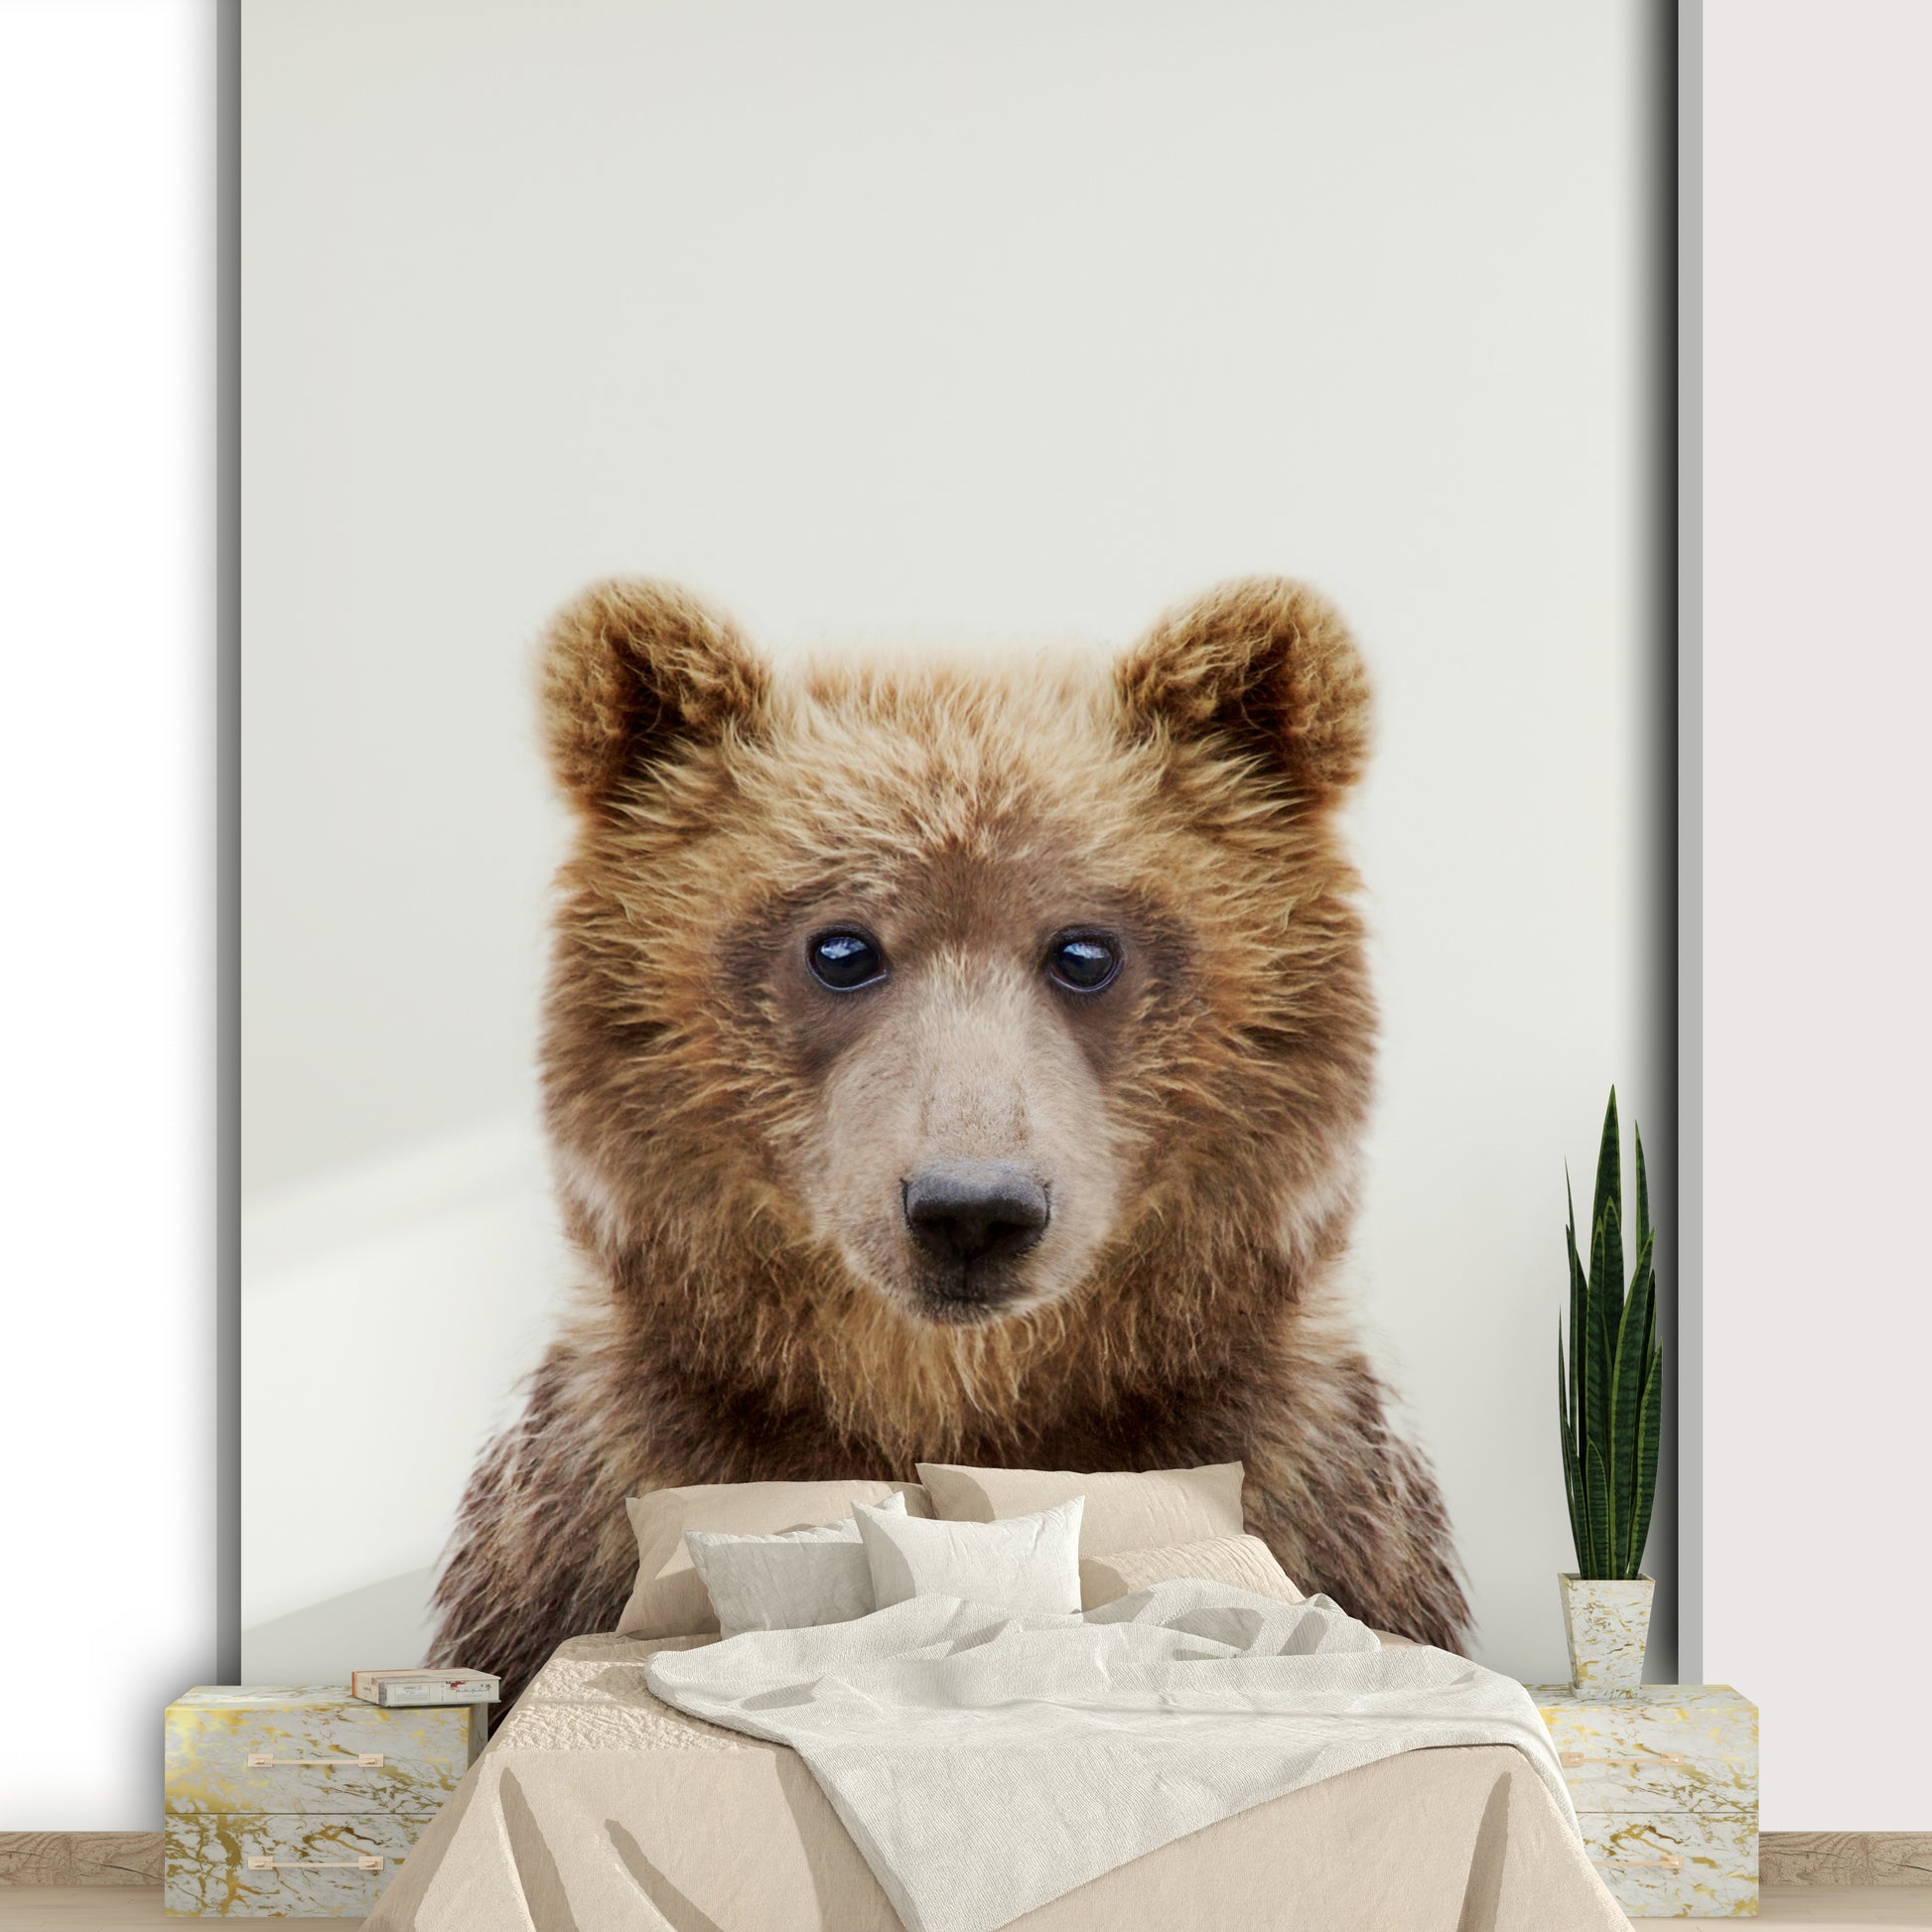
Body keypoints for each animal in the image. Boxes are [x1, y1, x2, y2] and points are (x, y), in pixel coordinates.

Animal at [429, 575, 1470, 1708]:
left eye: (1085, 949)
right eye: (840, 947)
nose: (972, 1210)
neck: (951, 1405)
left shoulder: (1311, 1481)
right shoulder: (596, 1496)